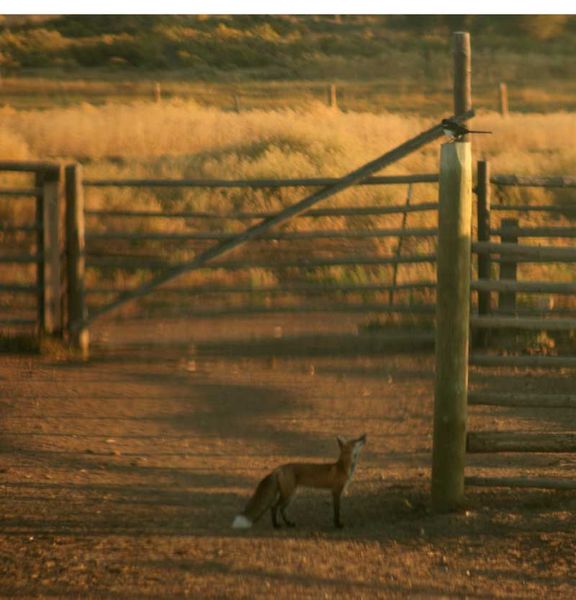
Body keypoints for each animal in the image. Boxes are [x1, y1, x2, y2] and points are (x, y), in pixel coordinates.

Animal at [232, 432, 366, 528]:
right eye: (356, 441)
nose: (364, 435)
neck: (343, 468)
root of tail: (278, 469)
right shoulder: (336, 492)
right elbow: (337, 511)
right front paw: (337, 525)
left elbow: (337, 511)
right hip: (288, 494)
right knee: (274, 507)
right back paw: (276, 525)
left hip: (291, 495)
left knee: (281, 509)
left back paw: (289, 523)